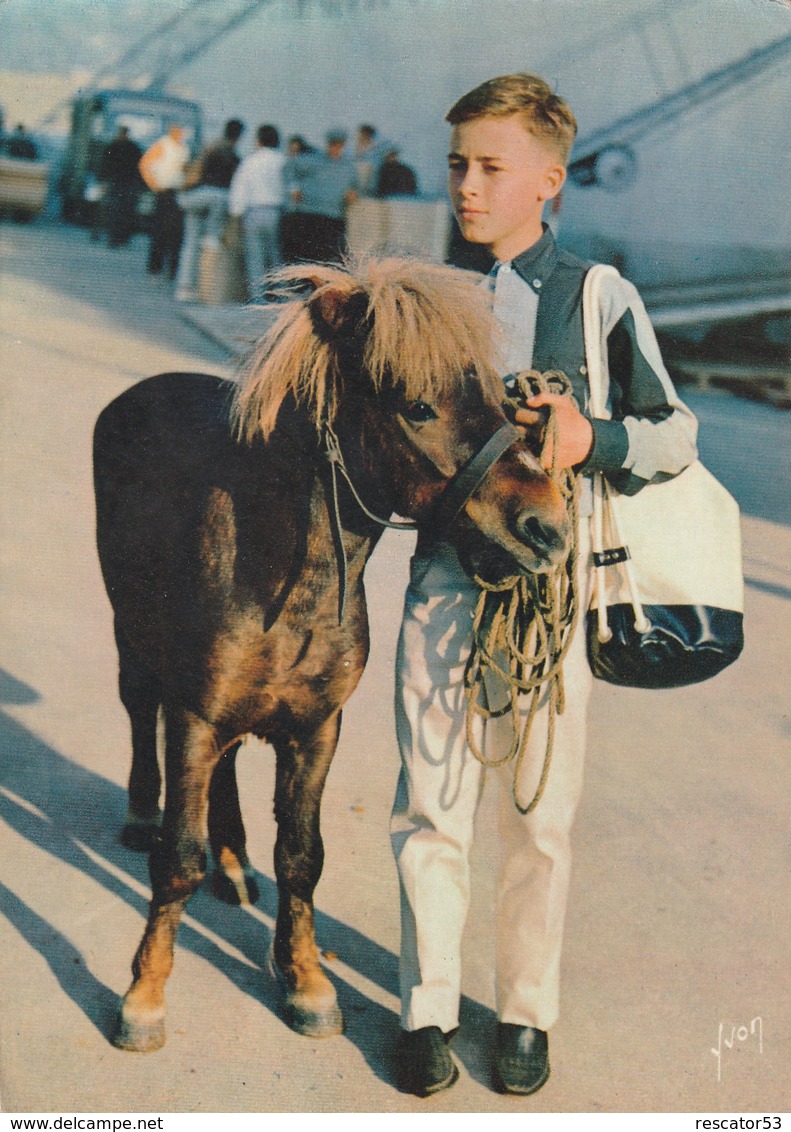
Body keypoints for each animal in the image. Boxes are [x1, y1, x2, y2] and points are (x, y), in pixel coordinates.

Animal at [94, 256, 570, 1050]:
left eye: (499, 398)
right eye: (417, 405)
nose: (548, 528)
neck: (280, 572)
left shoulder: (316, 729)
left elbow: (302, 856)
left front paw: (308, 983)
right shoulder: (193, 717)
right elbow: (176, 860)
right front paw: (144, 996)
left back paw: (235, 864)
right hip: (130, 631)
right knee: (137, 706)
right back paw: (141, 815)